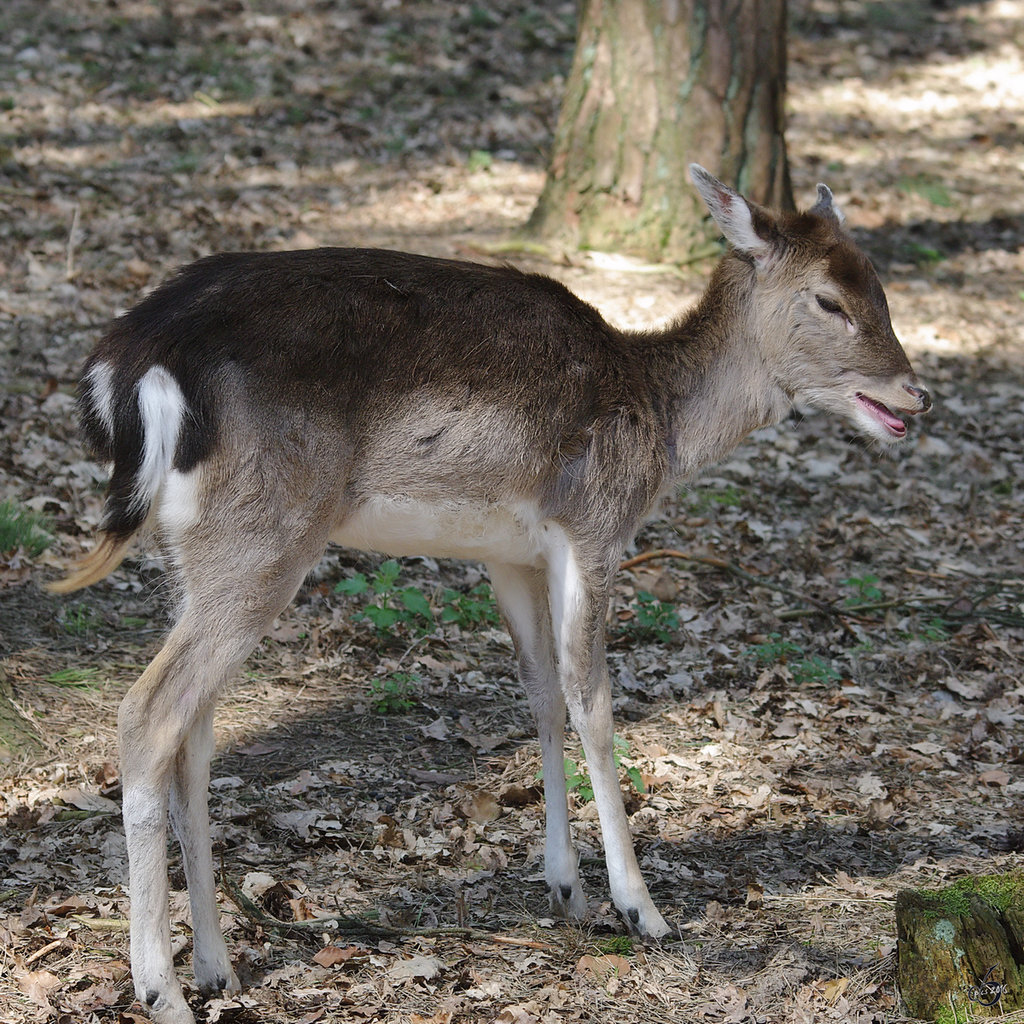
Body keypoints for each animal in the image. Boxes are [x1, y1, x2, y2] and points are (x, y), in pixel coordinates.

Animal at [46, 163, 929, 1019]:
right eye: (829, 298)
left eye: (881, 286)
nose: (914, 394)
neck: (660, 423)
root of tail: (123, 366)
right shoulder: (593, 524)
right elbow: (593, 699)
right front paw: (641, 908)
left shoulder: (511, 554)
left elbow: (540, 693)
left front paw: (567, 887)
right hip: (263, 533)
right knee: (148, 712)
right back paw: (159, 988)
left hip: (191, 548)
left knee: (193, 731)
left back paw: (217, 968)